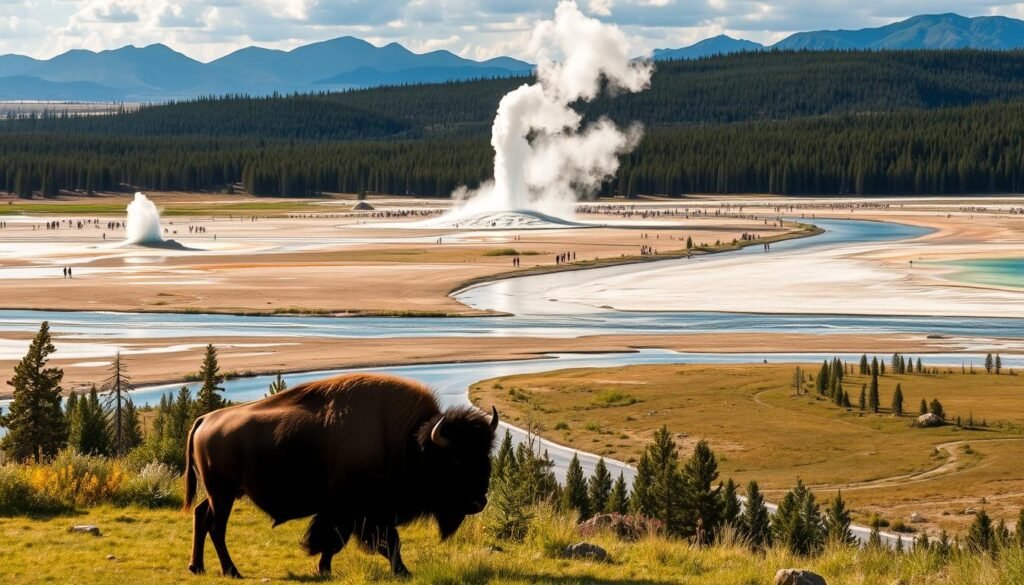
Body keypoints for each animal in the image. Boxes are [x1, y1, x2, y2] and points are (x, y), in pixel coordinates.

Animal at [183, 373, 499, 578]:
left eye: (486, 454)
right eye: (455, 460)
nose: (478, 502)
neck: (407, 441)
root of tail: (205, 419)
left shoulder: (354, 514)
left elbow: (338, 542)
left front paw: (324, 569)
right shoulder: (358, 513)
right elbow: (380, 542)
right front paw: (403, 572)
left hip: (222, 493)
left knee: (201, 515)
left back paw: (197, 567)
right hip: (222, 493)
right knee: (216, 527)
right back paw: (231, 571)